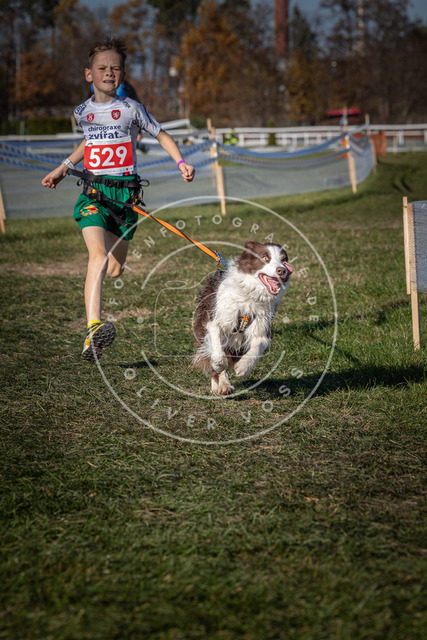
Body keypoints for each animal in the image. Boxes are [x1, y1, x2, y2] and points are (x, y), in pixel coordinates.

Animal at [193, 241, 293, 396]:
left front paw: (243, 367)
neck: (251, 295)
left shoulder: (263, 326)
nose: (282, 270)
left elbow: (258, 346)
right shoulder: (213, 320)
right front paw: (219, 365)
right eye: (265, 258)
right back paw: (221, 384)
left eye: (284, 260)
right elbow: (217, 348)